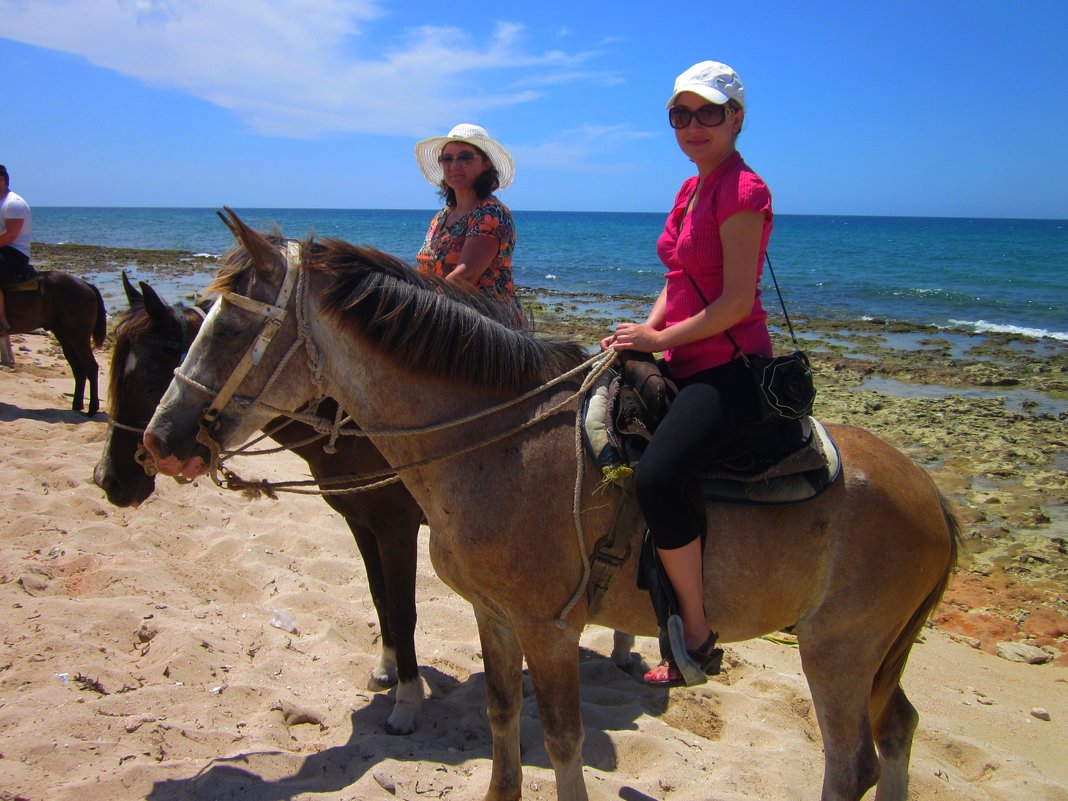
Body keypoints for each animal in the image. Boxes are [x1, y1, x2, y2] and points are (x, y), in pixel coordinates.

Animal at [2, 273, 106, 416]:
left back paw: (92, 408)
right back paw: (77, 405)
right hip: (66, 338)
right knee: (79, 369)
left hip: (79, 337)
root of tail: (86, 285)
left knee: (91, 367)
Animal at [88, 273, 429, 739]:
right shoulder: (361, 523)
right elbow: (380, 598)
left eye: (147, 379)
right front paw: (386, 669)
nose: (108, 480)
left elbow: (402, 610)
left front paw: (407, 702)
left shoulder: (397, 528)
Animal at [139, 213, 961, 801]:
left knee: (850, 766)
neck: (493, 444)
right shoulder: (493, 616)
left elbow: (563, 741)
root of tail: (934, 500)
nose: (159, 439)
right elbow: (504, 716)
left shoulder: (551, 629)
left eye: (232, 323)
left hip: (839, 652)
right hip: (875, 654)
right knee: (900, 729)